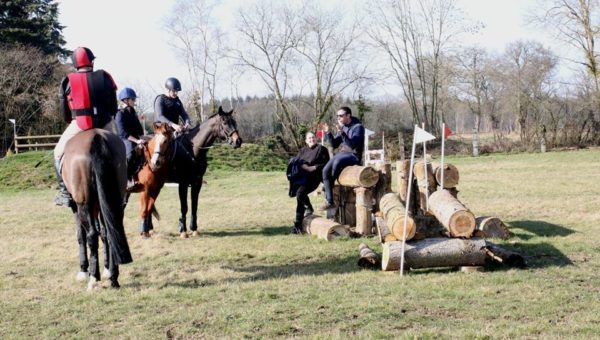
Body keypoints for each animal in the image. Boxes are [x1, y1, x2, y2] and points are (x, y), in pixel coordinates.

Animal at [62, 128, 132, 290]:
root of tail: (97, 136)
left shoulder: (76, 207)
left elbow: (81, 235)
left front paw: (83, 270)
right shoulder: (99, 206)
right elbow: (105, 233)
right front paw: (107, 269)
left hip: (84, 204)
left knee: (91, 235)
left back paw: (93, 278)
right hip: (114, 200)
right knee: (112, 232)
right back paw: (113, 278)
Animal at [166, 105, 241, 236]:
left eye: (234, 122)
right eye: (225, 122)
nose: (238, 141)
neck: (192, 149)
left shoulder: (197, 182)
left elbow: (194, 204)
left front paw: (194, 228)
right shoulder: (183, 183)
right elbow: (184, 206)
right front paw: (183, 230)